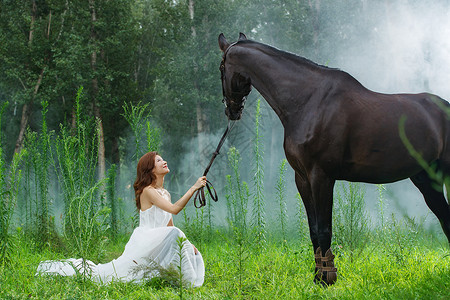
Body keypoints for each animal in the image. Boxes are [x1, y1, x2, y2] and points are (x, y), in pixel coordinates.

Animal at [217, 31, 450, 284]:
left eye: (221, 68)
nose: (231, 111)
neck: (307, 101)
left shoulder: (322, 177)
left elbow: (324, 229)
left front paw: (327, 278)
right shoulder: (302, 178)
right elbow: (313, 230)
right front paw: (317, 276)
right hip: (426, 178)